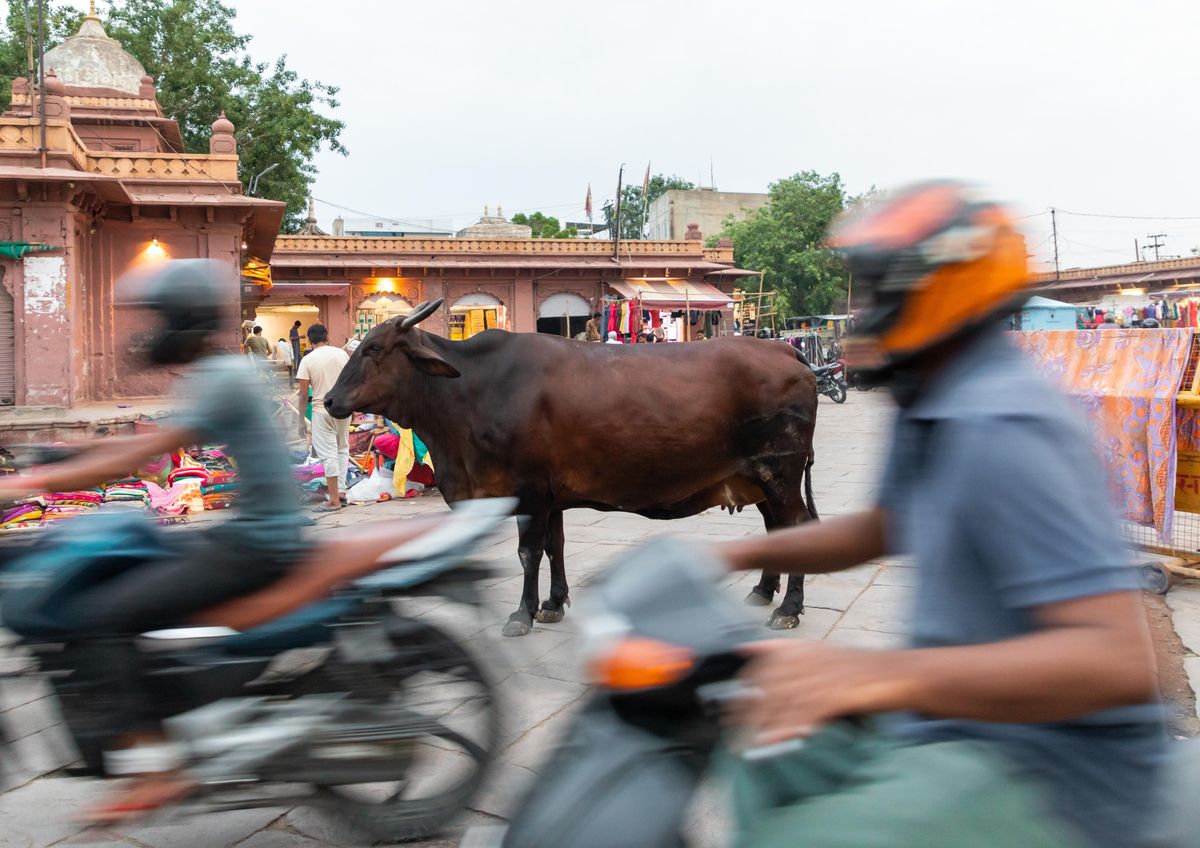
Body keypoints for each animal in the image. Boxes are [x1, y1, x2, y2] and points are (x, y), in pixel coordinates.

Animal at [324, 298, 820, 638]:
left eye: (373, 348)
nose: (329, 400)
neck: (468, 394)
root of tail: (784, 352)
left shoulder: (527, 492)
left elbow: (528, 552)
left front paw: (522, 613)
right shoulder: (552, 496)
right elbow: (554, 547)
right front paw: (554, 603)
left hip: (780, 474)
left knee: (796, 526)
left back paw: (788, 608)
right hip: (760, 479)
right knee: (778, 530)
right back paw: (763, 592)